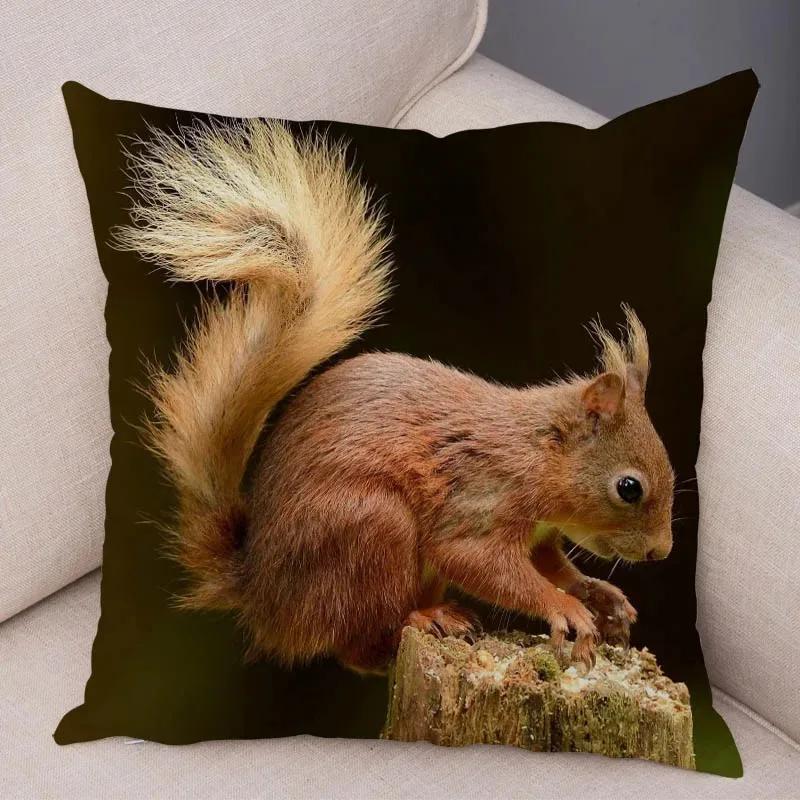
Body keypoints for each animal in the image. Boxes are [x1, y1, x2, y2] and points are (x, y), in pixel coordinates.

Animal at [114, 119, 675, 674]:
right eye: (629, 487)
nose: (660, 552)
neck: (539, 448)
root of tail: (263, 597)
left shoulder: (539, 535)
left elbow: (551, 566)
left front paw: (602, 596)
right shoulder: (484, 497)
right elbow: (478, 560)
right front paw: (565, 608)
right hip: (372, 529)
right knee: (362, 645)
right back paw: (426, 619)